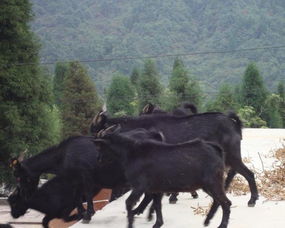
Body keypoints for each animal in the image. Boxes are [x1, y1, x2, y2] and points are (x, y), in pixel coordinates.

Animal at [90, 110, 258, 207]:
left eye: (96, 134)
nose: (97, 158)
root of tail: (231, 121)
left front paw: (173, 196)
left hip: (232, 154)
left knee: (248, 174)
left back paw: (252, 200)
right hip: (228, 157)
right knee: (235, 171)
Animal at [93, 125, 231, 228]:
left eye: (100, 146)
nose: (98, 160)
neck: (132, 152)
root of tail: (215, 149)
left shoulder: (139, 186)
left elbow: (129, 203)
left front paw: (131, 224)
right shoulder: (155, 188)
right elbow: (157, 206)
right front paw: (157, 223)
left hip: (213, 182)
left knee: (225, 202)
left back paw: (221, 225)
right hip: (208, 185)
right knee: (217, 201)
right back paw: (207, 220)